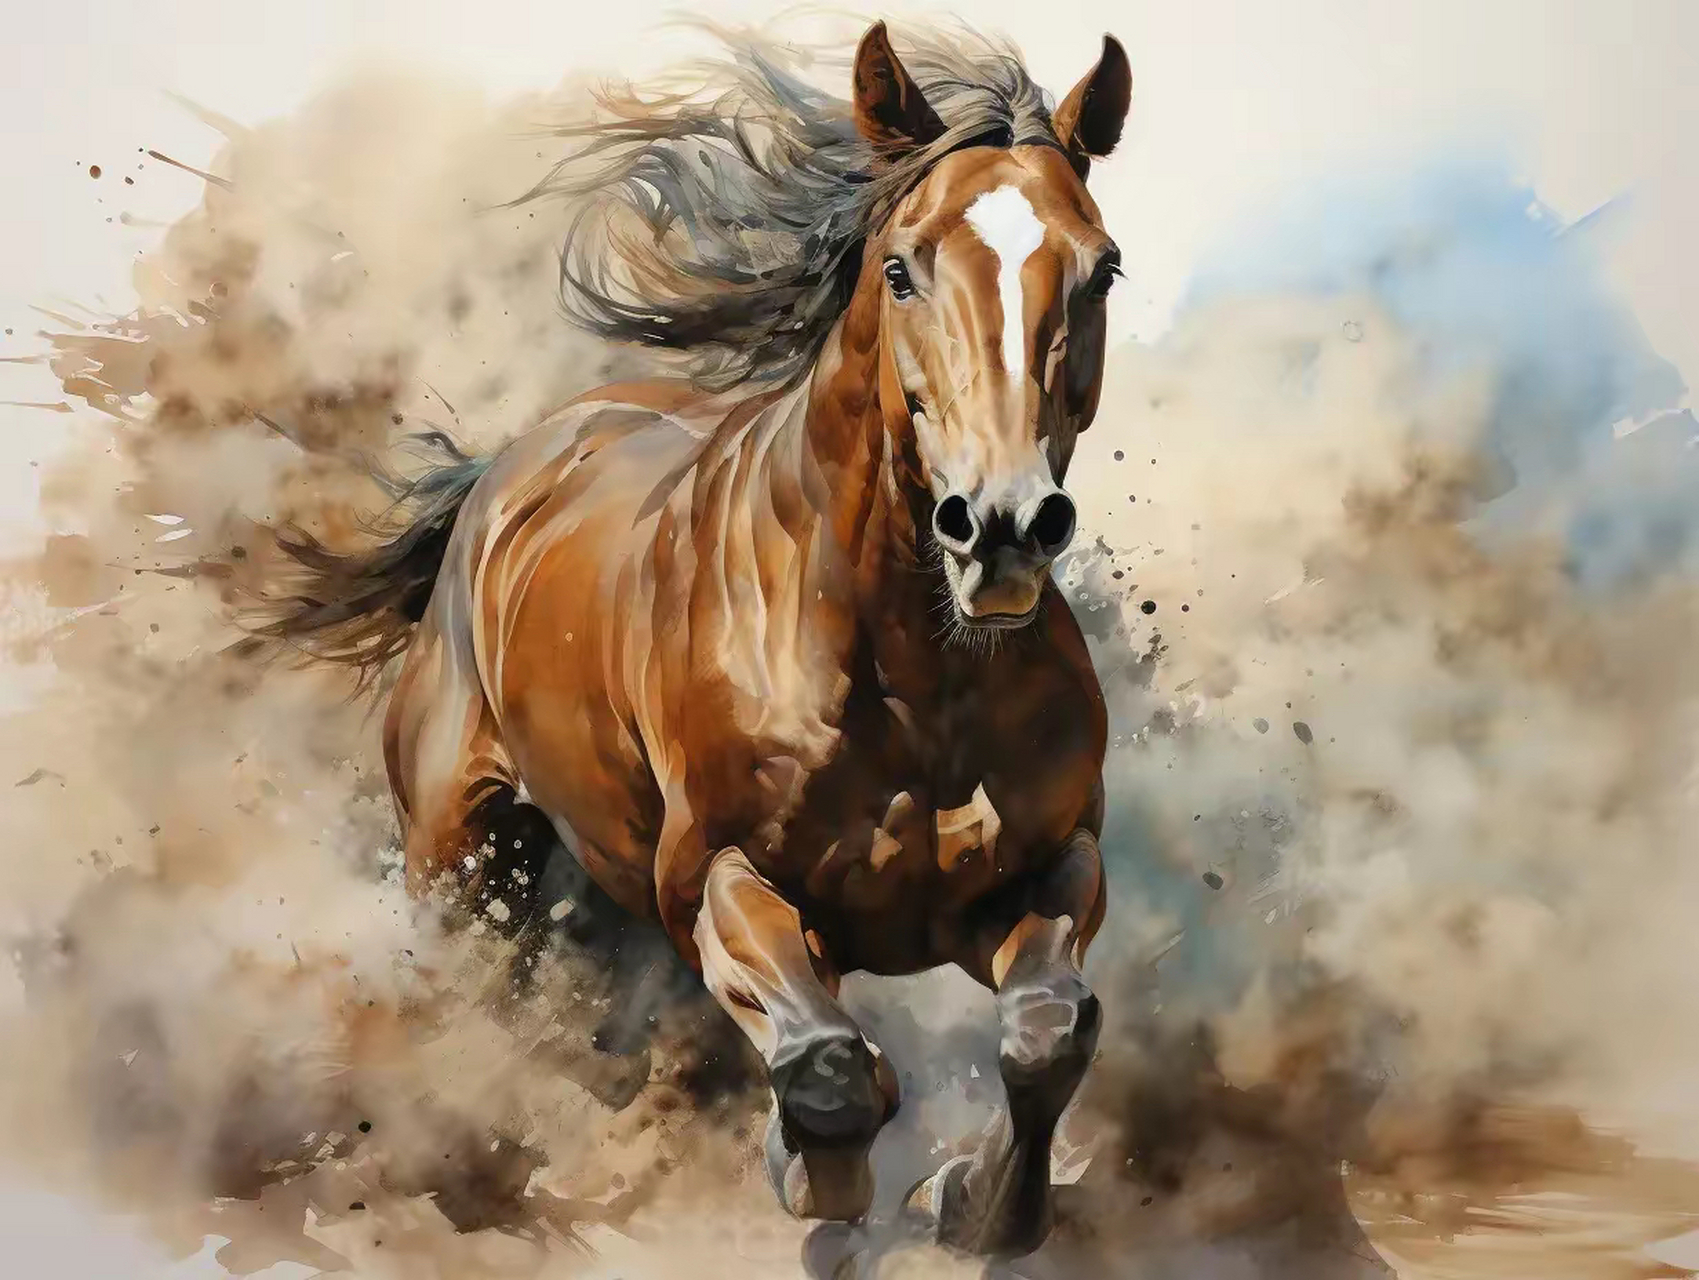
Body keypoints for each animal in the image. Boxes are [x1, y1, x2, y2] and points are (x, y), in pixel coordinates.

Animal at [263, 20, 1132, 1257]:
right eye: (902, 266)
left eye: (1100, 266)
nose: (1004, 527)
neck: (910, 681)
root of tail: (508, 471)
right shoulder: (711, 879)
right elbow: (826, 1066)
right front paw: (815, 1175)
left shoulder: (1045, 867)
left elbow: (1048, 1028)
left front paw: (973, 1201)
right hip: (456, 860)